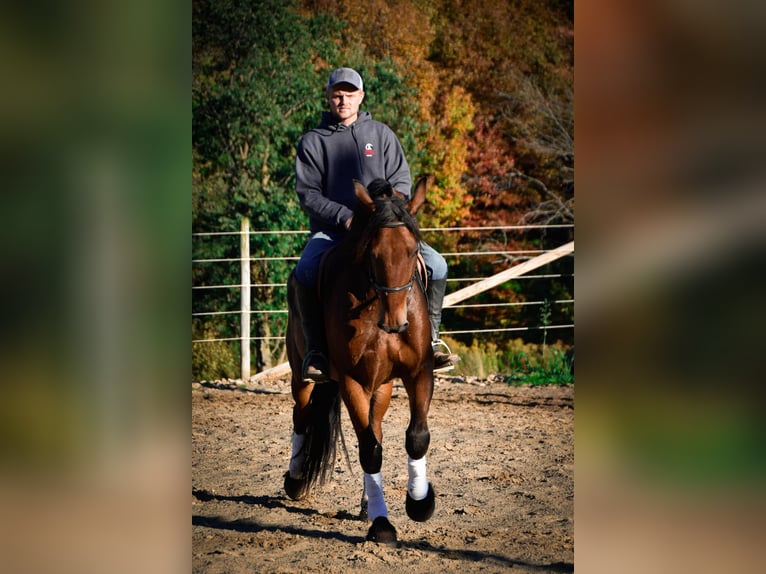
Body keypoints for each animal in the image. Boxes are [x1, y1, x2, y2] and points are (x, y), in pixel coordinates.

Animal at [283, 176, 436, 546]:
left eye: (413, 251)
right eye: (373, 253)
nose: (396, 322)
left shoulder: (419, 372)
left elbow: (416, 436)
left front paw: (419, 503)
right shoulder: (352, 381)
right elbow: (369, 451)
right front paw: (382, 525)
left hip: (381, 386)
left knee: (375, 427)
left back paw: (368, 503)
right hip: (303, 377)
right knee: (302, 416)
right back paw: (295, 481)